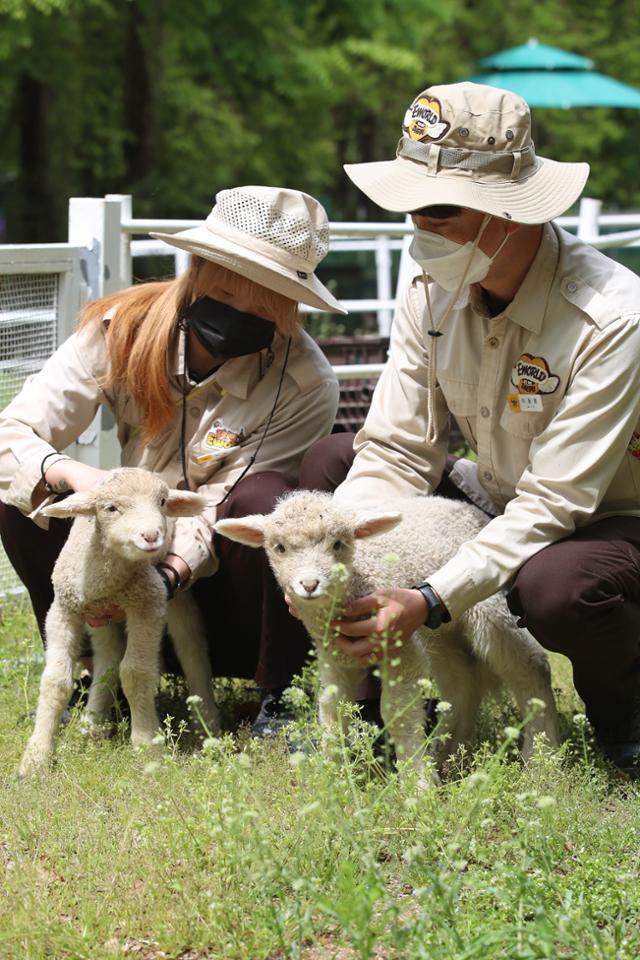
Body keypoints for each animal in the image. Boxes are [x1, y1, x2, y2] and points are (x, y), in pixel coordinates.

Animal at [20, 464, 220, 772]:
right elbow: (55, 681)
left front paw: (147, 749)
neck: (104, 584)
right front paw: (36, 757)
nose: (151, 536)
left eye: (162, 502)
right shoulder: (63, 609)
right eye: (110, 508)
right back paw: (92, 725)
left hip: (176, 594)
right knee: (108, 658)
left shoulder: (148, 603)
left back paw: (207, 727)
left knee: (192, 649)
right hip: (100, 620)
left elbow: (136, 673)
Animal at [215, 492, 556, 776]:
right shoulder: (335, 653)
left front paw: (417, 784)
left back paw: (541, 757)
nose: (310, 585)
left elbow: (397, 713)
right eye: (280, 547)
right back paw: (444, 753)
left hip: (488, 606)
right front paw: (331, 772)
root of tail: (466, 508)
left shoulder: (400, 646)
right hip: (439, 632)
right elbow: (332, 710)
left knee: (529, 668)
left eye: (338, 544)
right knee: (461, 683)